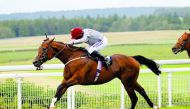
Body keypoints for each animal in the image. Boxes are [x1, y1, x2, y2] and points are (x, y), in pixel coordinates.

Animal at [32, 37, 160, 108]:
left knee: (134, 98)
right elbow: (58, 93)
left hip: (127, 81)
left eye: (44, 49)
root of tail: (132, 58)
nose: (35, 62)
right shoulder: (67, 80)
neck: (72, 58)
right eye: (38, 48)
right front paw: (52, 105)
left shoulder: (76, 79)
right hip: (131, 80)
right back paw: (154, 106)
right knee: (142, 91)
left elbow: (59, 87)